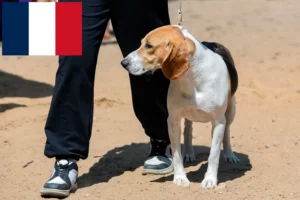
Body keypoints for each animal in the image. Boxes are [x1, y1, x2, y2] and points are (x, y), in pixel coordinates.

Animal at [120, 25, 240, 189]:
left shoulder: (218, 122)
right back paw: (189, 153)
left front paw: (210, 179)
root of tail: (212, 43)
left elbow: (214, 154)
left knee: (227, 131)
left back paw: (229, 154)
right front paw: (180, 178)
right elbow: (176, 154)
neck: (193, 79)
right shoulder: (173, 120)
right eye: (141, 43)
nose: (123, 63)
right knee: (188, 129)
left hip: (231, 111)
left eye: (149, 46)